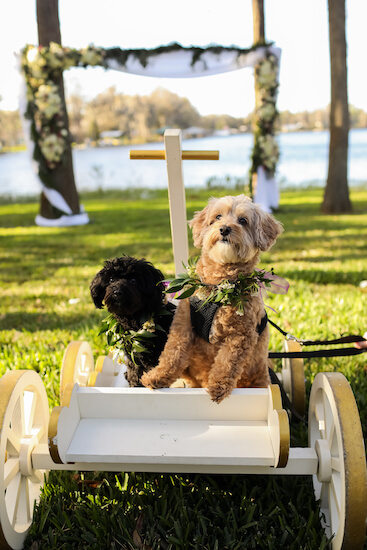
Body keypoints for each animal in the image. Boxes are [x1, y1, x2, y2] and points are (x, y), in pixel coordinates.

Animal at [90, 256, 175, 388]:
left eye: (133, 280)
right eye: (111, 279)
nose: (117, 292)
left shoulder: (154, 358)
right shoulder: (133, 356)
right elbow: (135, 373)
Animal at [142, 196, 284, 404]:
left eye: (243, 220)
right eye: (217, 217)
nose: (224, 229)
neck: (218, 287)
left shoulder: (240, 335)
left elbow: (227, 363)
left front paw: (218, 386)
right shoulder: (183, 324)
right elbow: (172, 353)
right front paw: (157, 376)